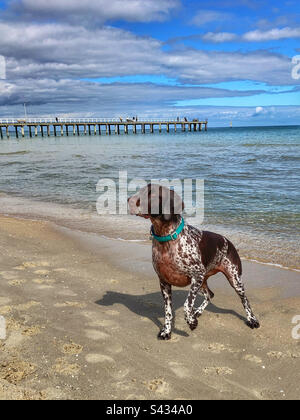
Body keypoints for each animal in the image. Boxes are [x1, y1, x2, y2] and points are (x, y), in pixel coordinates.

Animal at [127, 185, 258, 342]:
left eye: (151, 194)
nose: (128, 200)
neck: (166, 238)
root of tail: (227, 241)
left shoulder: (196, 276)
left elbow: (186, 304)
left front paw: (190, 321)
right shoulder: (164, 282)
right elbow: (168, 311)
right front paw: (167, 331)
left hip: (233, 279)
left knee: (245, 300)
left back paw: (252, 319)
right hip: (202, 282)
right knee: (210, 295)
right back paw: (197, 312)